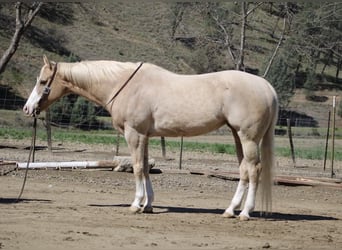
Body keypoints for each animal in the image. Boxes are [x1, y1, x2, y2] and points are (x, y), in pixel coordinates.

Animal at [24, 55, 278, 220]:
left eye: (43, 82)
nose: (27, 109)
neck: (123, 84)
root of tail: (267, 87)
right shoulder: (145, 136)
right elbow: (145, 167)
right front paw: (148, 205)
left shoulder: (134, 134)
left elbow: (137, 168)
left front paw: (136, 204)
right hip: (238, 136)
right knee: (243, 170)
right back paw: (229, 210)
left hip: (248, 137)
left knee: (254, 170)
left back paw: (245, 212)